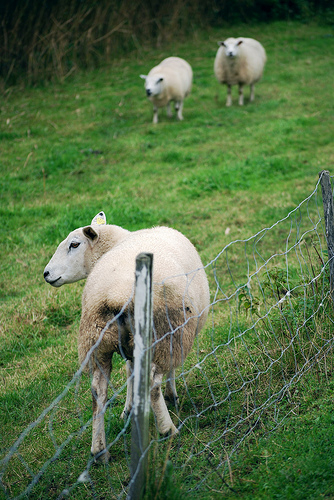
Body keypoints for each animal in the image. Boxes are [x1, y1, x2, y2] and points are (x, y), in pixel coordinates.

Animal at [43, 213, 209, 462]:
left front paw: (129, 409)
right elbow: (162, 371)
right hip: (160, 334)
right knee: (152, 384)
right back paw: (168, 429)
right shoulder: (176, 335)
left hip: (96, 342)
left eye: (74, 244)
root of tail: (115, 294)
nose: (46, 274)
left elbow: (130, 372)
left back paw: (99, 451)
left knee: (98, 392)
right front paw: (171, 396)